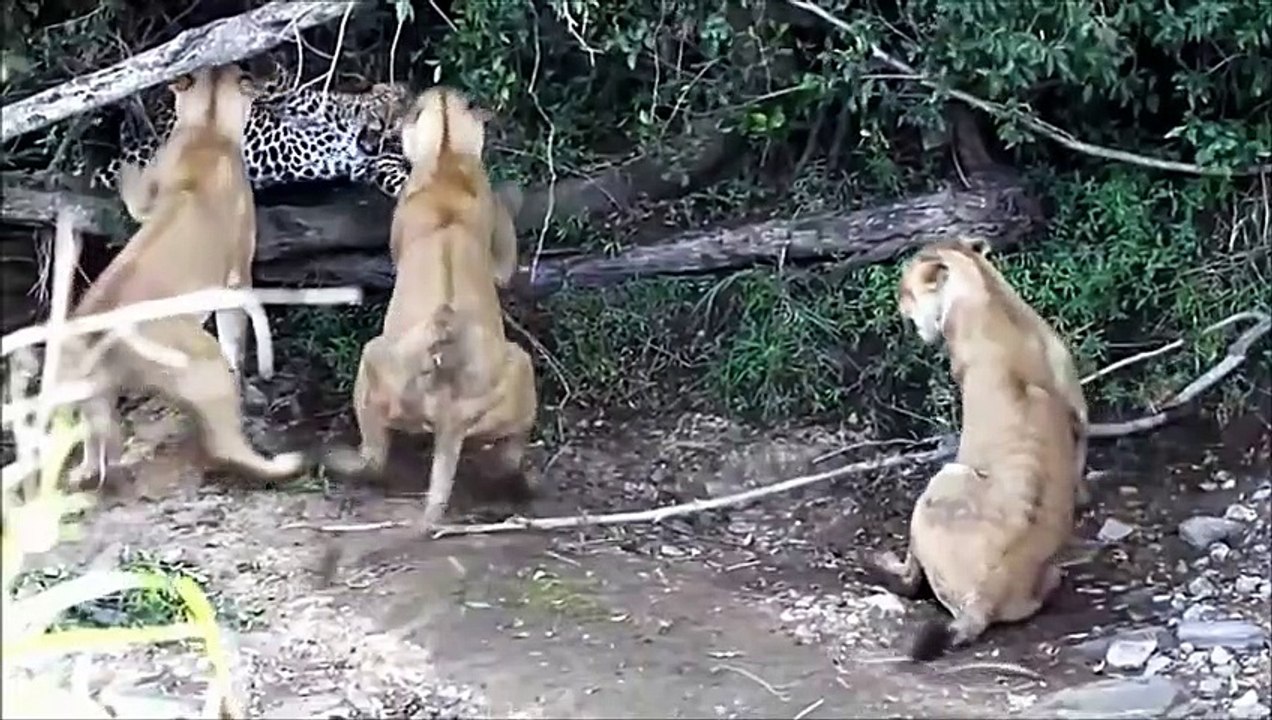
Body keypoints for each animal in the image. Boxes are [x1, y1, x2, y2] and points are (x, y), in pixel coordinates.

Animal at [74, 64, 416, 199]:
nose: (383, 129)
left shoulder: (381, 165)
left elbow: (400, 179)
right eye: (383, 107)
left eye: (397, 126)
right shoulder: (309, 105)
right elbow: (283, 86)